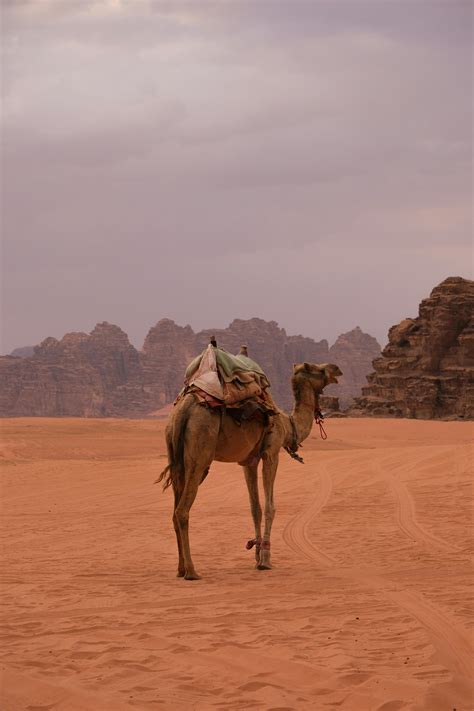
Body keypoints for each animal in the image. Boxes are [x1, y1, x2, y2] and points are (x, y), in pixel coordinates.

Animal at [158, 361, 343, 579]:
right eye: (319, 370)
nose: (336, 369)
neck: (287, 425)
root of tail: (183, 410)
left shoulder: (248, 462)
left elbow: (255, 508)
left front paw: (256, 556)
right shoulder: (271, 453)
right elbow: (270, 506)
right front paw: (265, 560)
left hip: (176, 455)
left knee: (174, 510)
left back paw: (180, 569)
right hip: (200, 452)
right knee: (182, 511)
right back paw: (192, 571)